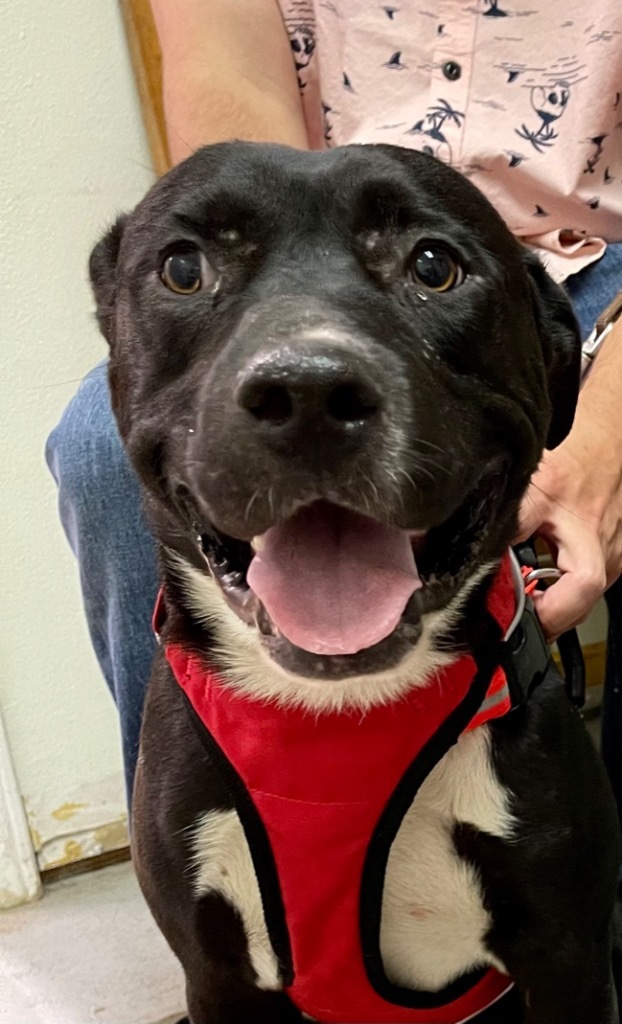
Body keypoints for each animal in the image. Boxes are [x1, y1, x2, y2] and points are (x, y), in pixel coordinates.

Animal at [90, 140, 618, 1019]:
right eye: (183, 268)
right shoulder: (216, 975)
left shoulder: (567, 959)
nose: (307, 390)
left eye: (434, 265)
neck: (333, 714)